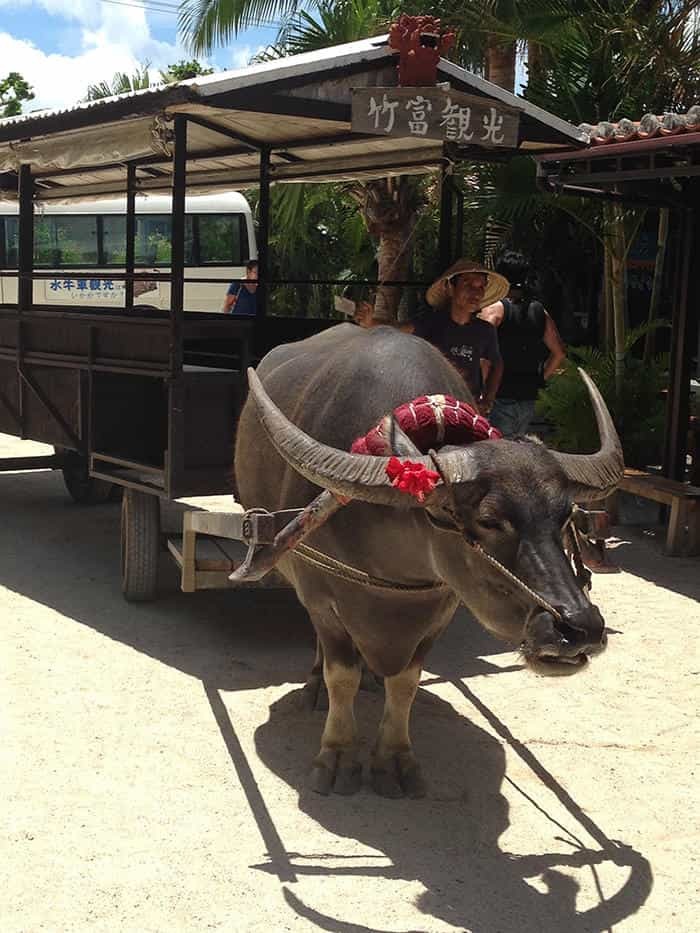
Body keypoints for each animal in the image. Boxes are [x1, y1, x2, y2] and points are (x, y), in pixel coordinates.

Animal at [237, 324, 624, 796]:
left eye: (566, 515)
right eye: (489, 520)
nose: (580, 628)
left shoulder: (441, 607)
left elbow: (406, 682)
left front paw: (394, 760)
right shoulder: (323, 599)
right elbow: (340, 677)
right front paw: (338, 756)